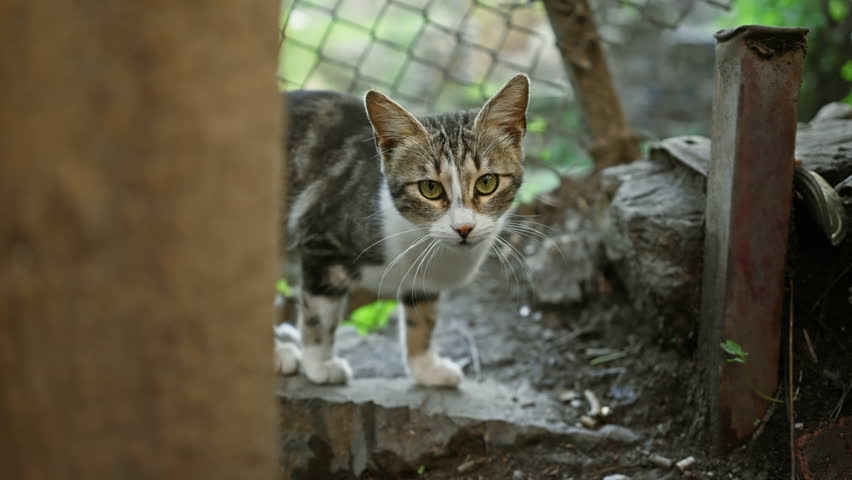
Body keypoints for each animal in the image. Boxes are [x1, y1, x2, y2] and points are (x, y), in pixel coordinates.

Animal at [276, 74, 528, 386]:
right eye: (430, 188)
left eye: (487, 182)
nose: (464, 227)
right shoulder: (321, 240)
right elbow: (320, 312)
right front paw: (320, 364)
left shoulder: (424, 280)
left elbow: (423, 314)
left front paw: (426, 367)